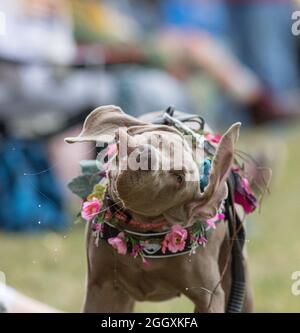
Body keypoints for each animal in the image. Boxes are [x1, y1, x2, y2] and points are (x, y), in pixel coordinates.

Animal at [65, 105, 253, 312]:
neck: (143, 234)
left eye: (179, 177)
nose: (145, 155)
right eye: (158, 138)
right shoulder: (101, 288)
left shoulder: (210, 297)